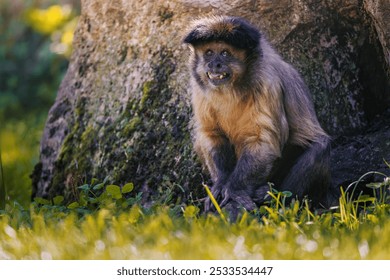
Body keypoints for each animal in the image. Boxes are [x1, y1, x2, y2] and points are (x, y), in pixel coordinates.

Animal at [183, 14, 332, 219]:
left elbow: (262, 142)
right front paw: (220, 184)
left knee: (320, 148)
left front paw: (235, 190)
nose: (214, 64)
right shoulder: (199, 87)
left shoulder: (266, 82)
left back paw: (271, 195)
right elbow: (211, 134)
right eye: (209, 53)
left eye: (225, 53)